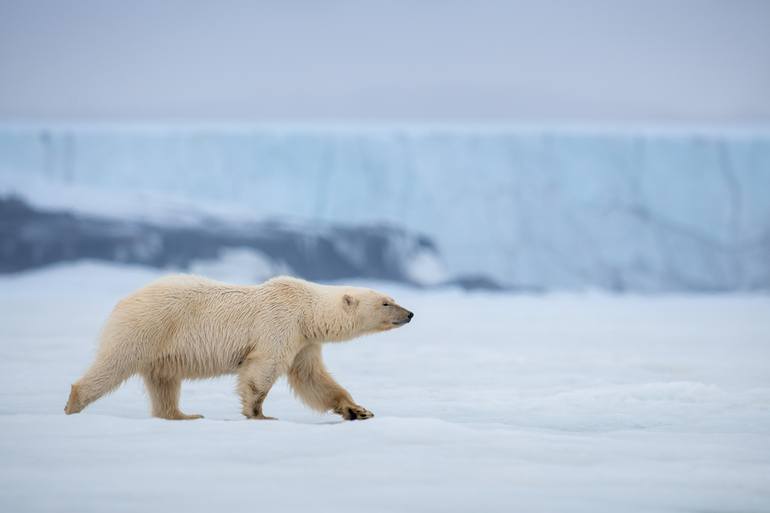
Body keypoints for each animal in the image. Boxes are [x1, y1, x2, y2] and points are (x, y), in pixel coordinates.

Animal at [64, 276, 414, 420]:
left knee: (164, 382)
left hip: (161, 346)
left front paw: (358, 410)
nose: (410, 313)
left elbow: (312, 379)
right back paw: (73, 403)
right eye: (386, 302)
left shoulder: (304, 341)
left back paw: (184, 415)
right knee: (114, 364)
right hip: (147, 327)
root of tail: (123, 301)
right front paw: (259, 414)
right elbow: (262, 370)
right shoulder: (280, 324)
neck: (306, 309)